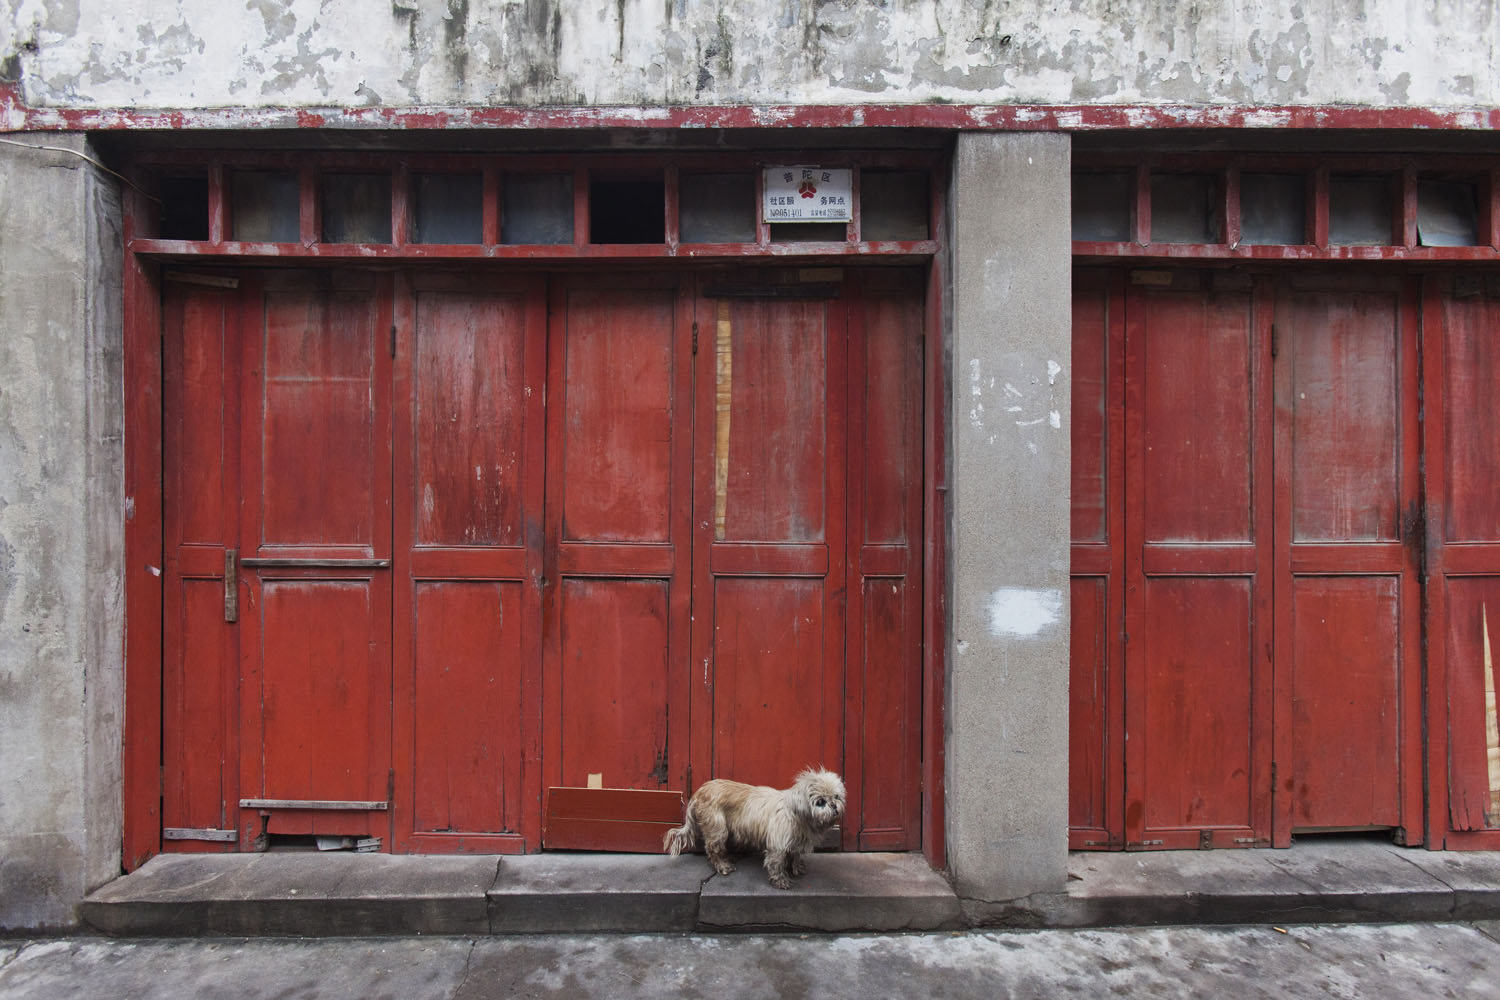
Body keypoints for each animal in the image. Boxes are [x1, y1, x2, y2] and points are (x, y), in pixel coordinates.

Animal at [666, 773, 846, 887]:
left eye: (836, 797)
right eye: (820, 802)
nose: (834, 806)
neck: (797, 814)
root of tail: (699, 792)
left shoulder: (795, 842)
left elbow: (795, 856)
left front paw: (796, 868)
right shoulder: (777, 845)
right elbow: (777, 864)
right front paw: (781, 880)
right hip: (718, 830)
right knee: (713, 850)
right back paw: (723, 866)